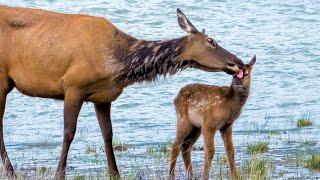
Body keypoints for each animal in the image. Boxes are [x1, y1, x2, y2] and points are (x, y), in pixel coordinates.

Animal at [0, 5, 244, 179]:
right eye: (211, 41)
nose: (238, 62)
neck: (119, 63)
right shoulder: (73, 86)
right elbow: (69, 132)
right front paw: (59, 173)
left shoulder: (102, 97)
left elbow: (108, 134)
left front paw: (115, 172)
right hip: (2, 80)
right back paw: (10, 170)